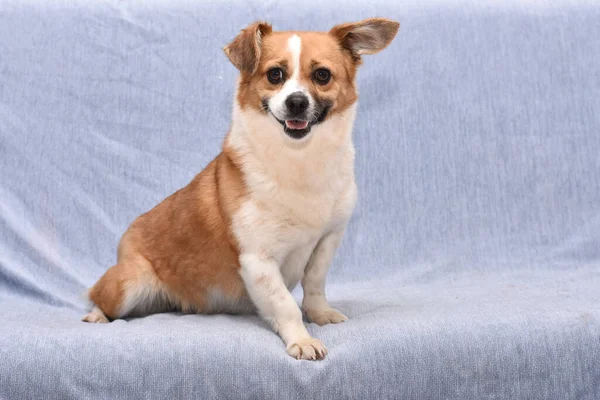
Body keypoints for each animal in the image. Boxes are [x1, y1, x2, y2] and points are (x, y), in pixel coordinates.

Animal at [79, 18, 398, 360]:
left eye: (322, 75)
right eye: (275, 74)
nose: (296, 101)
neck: (299, 160)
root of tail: (124, 242)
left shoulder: (327, 241)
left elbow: (314, 284)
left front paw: (319, 313)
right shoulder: (258, 260)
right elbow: (285, 304)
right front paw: (302, 339)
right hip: (129, 283)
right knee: (99, 295)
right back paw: (97, 315)